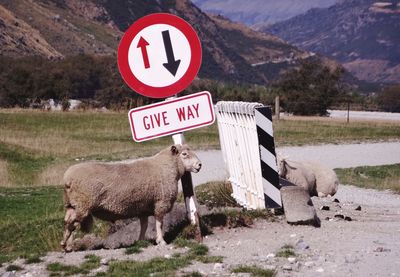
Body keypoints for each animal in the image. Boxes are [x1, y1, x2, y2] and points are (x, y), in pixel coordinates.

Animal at [60, 144, 202, 250]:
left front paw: (141, 240)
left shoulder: (144, 207)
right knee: (71, 223)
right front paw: (161, 241)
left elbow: (144, 225)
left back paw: (67, 245)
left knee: (68, 222)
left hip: (72, 204)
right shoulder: (160, 202)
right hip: (82, 204)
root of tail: (67, 178)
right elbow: (159, 224)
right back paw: (66, 244)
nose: (199, 165)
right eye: (184, 154)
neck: (167, 167)